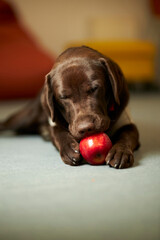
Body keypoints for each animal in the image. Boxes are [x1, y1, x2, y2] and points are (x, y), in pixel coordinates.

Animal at [0, 46, 139, 168]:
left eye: (94, 88)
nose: (86, 128)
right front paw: (68, 147)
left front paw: (120, 151)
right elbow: (58, 132)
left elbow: (127, 134)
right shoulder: (53, 122)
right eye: (63, 97)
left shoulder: (126, 120)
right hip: (24, 118)